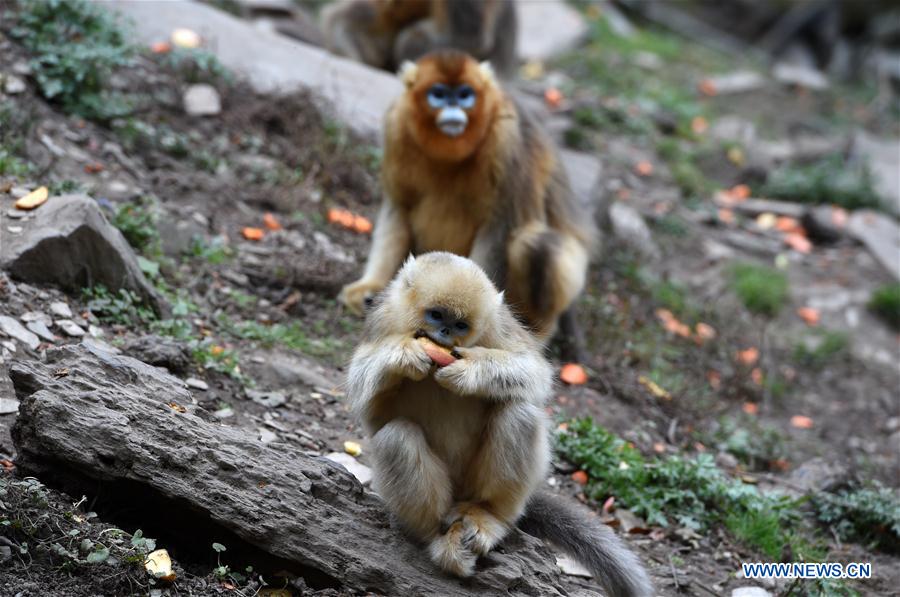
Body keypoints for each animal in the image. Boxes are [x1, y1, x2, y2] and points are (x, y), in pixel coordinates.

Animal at [342, 51, 596, 350]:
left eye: (465, 95)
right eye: (439, 94)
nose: (453, 107)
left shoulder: (505, 137)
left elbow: (501, 228)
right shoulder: (397, 125)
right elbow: (398, 208)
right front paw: (372, 287)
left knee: (537, 244)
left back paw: (537, 332)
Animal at [346, 251, 652, 596]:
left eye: (459, 324)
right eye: (436, 315)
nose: (445, 335)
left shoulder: (498, 324)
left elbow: (535, 373)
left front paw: (470, 372)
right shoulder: (383, 318)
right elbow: (367, 402)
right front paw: (405, 356)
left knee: (519, 413)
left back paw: (486, 516)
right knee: (397, 436)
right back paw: (438, 537)